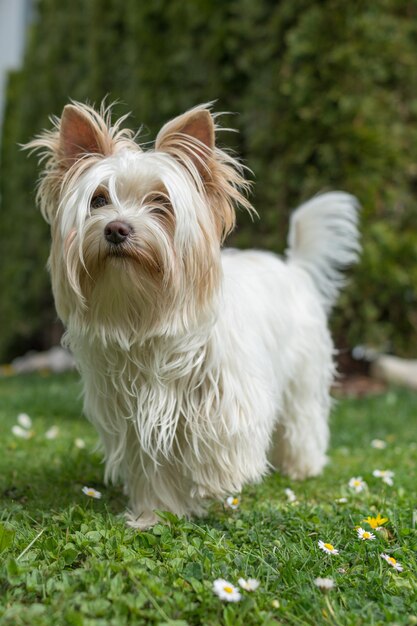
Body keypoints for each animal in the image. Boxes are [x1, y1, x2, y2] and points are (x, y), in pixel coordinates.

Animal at [26, 103, 358, 528]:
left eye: (161, 202)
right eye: (97, 200)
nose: (116, 229)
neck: (145, 315)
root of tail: (294, 267)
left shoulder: (229, 397)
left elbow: (220, 442)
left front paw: (214, 483)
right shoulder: (136, 420)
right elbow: (153, 469)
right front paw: (155, 514)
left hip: (303, 376)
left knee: (303, 421)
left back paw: (302, 467)